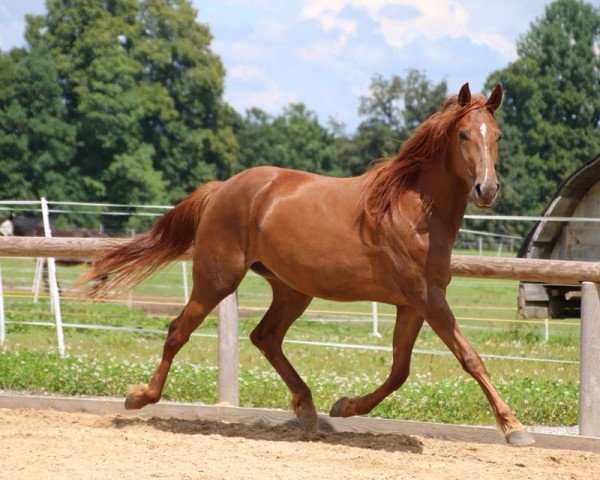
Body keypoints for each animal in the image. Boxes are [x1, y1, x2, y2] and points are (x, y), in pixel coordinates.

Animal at [83, 83, 536, 446]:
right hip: (217, 278)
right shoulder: (427, 298)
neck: (413, 209)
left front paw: (345, 405)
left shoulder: (412, 304)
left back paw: (307, 408)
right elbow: (468, 357)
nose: (487, 189)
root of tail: (223, 188)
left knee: (265, 337)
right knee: (179, 330)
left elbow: (400, 370)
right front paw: (514, 427)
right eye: (463, 134)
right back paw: (140, 397)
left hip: (291, 289)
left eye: (497, 136)